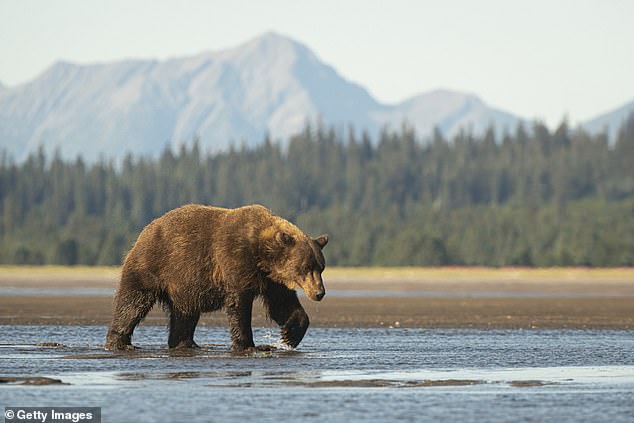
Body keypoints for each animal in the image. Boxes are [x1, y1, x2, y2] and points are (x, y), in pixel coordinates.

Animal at [103, 204, 326, 352]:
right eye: (306, 267)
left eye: (321, 267)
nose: (319, 293)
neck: (261, 254)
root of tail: (145, 231)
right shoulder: (235, 260)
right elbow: (239, 306)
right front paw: (249, 345)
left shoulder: (271, 279)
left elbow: (282, 304)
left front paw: (289, 335)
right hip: (153, 265)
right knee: (133, 303)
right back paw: (120, 343)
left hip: (184, 285)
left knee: (185, 314)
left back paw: (186, 343)